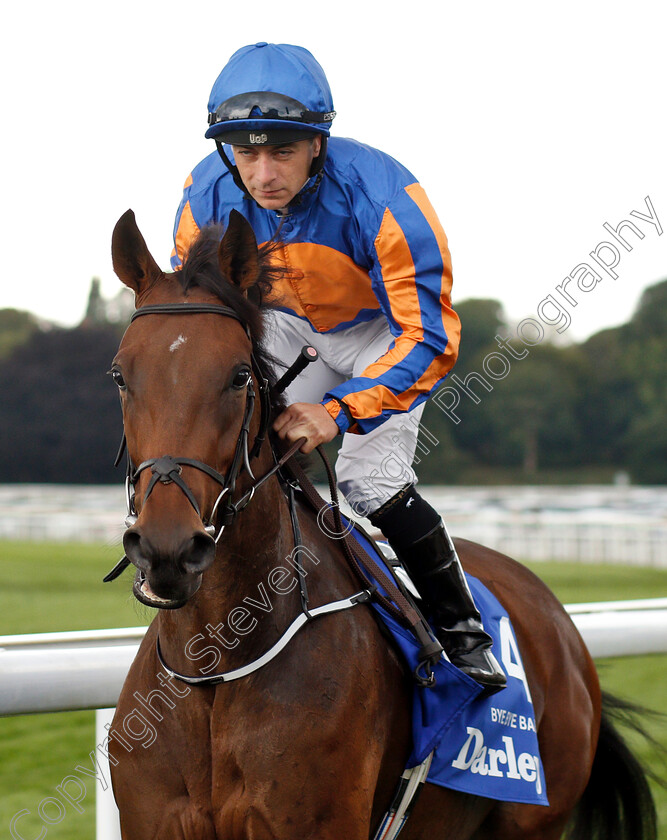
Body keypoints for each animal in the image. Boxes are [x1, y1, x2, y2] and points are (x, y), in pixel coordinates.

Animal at [107, 205, 656, 840]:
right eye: (120, 375)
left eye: (240, 375)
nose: (167, 548)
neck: (216, 669)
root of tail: (560, 622)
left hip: (535, 817)